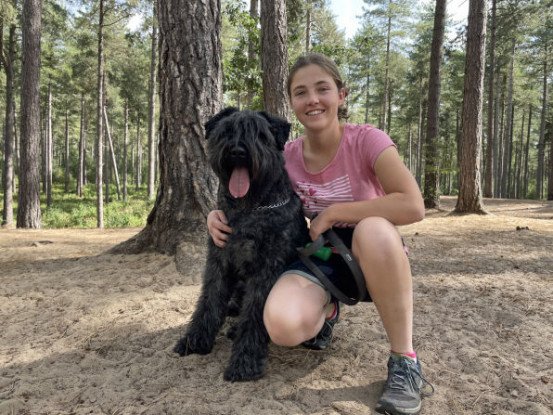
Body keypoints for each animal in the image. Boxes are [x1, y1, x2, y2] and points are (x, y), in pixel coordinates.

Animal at [174, 108, 308, 384]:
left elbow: (254, 315)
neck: (251, 209)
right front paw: (195, 340)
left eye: (259, 133)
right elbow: (209, 300)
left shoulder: (266, 270)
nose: (237, 151)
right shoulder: (219, 261)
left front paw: (244, 362)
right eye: (227, 131)